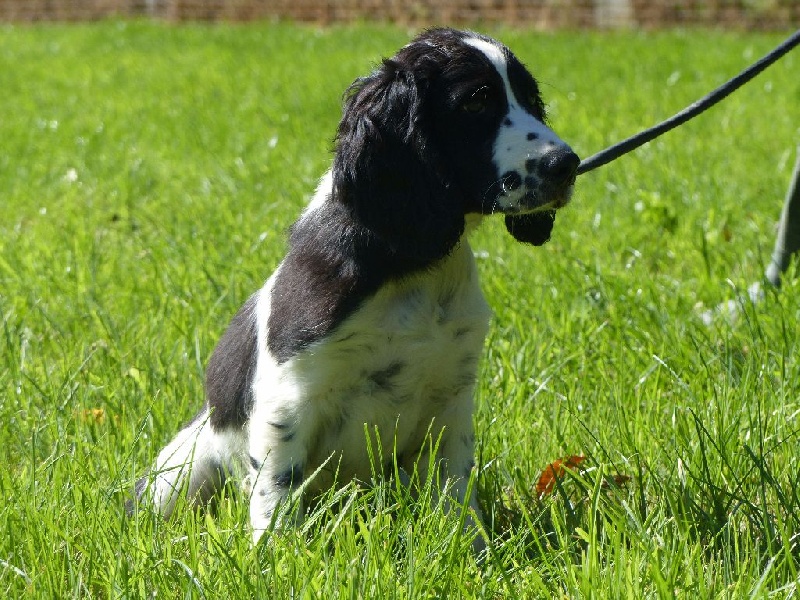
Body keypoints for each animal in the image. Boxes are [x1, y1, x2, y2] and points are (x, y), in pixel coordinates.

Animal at [133, 29, 580, 552]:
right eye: (476, 101)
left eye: (531, 100)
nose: (567, 164)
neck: (412, 269)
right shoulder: (289, 399)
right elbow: (276, 492)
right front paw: (276, 558)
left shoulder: (450, 398)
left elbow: (454, 490)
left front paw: (470, 550)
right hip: (180, 470)